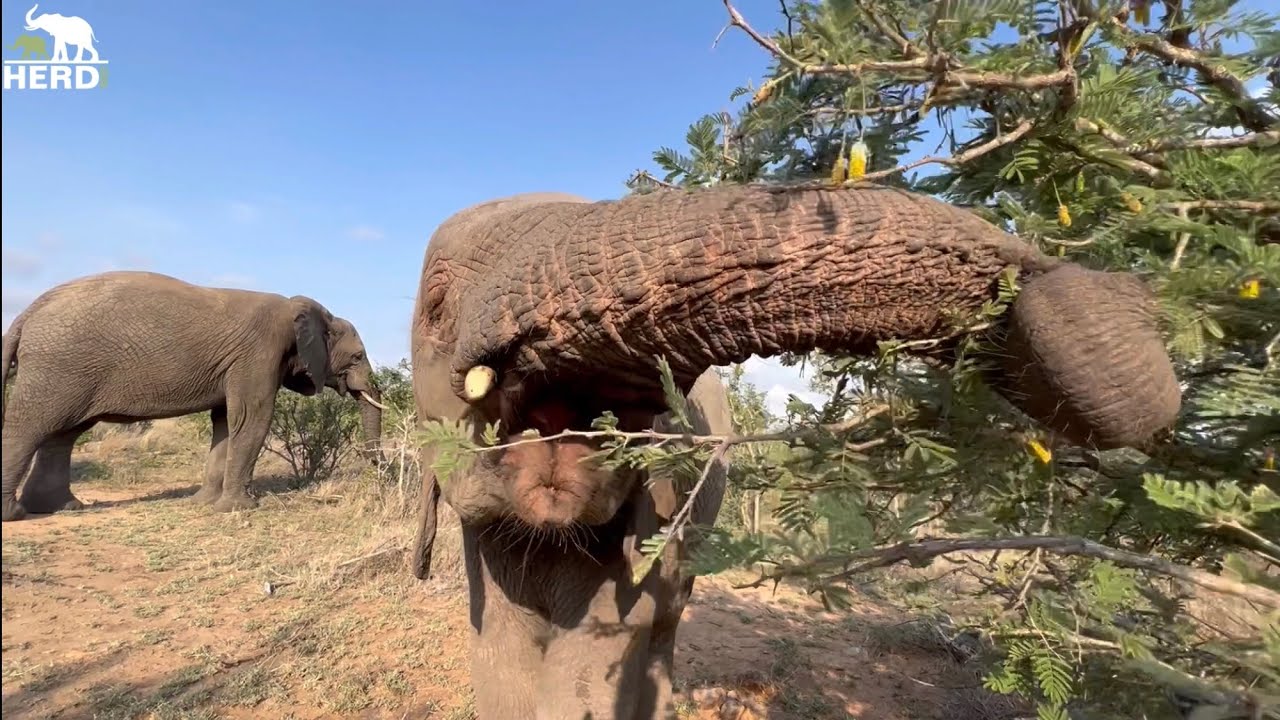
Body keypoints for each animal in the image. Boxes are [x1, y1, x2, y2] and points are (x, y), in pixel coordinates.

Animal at [1, 270, 385, 522]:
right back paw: (17, 514)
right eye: (356, 357)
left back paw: (60, 508)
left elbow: (225, 424)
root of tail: (25, 313)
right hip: (59, 367)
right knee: (31, 428)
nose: (379, 469)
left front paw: (203, 503)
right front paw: (238, 509)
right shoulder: (259, 352)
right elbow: (252, 417)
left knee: (63, 434)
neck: (303, 308)